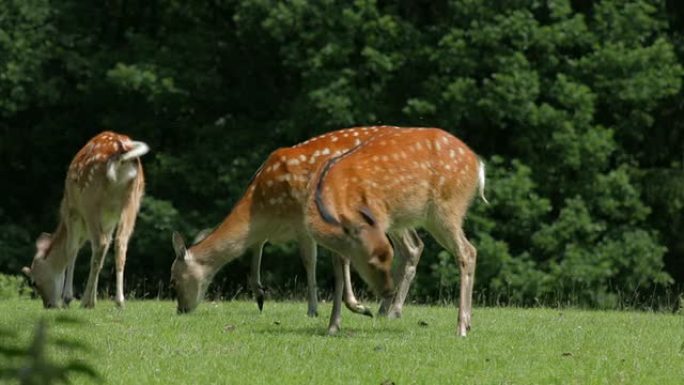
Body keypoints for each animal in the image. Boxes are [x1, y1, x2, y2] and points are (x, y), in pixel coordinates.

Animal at [22, 130, 148, 308]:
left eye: (34, 282)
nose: (49, 305)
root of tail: (122, 150)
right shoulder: (109, 220)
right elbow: (101, 255)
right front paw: (92, 299)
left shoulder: (73, 212)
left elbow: (72, 249)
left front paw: (68, 298)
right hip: (132, 201)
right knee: (119, 243)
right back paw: (119, 302)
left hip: (90, 200)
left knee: (100, 243)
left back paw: (85, 302)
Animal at [170, 125, 422, 316]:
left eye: (173, 280)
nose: (181, 309)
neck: (261, 207)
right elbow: (256, 247)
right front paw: (259, 295)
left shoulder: (302, 222)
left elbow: (310, 261)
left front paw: (316, 309)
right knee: (411, 246)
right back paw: (385, 308)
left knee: (412, 247)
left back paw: (393, 310)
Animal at [304, 127, 486, 334]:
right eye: (372, 262)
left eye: (386, 258)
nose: (387, 291)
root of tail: (478, 165)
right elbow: (339, 267)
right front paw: (334, 325)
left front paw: (358, 309)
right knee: (467, 250)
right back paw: (467, 323)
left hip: (447, 209)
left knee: (466, 251)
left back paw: (461, 326)